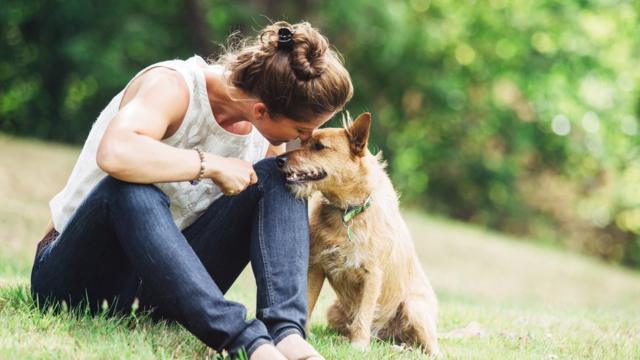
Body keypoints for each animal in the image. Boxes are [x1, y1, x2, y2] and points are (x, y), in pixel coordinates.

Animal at [278, 112, 442, 354]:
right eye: (304, 142)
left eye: (319, 146)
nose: (279, 160)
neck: (348, 212)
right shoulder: (315, 267)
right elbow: (307, 303)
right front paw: (303, 336)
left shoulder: (372, 275)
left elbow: (364, 315)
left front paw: (358, 346)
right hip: (334, 311)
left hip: (415, 309)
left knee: (432, 350)